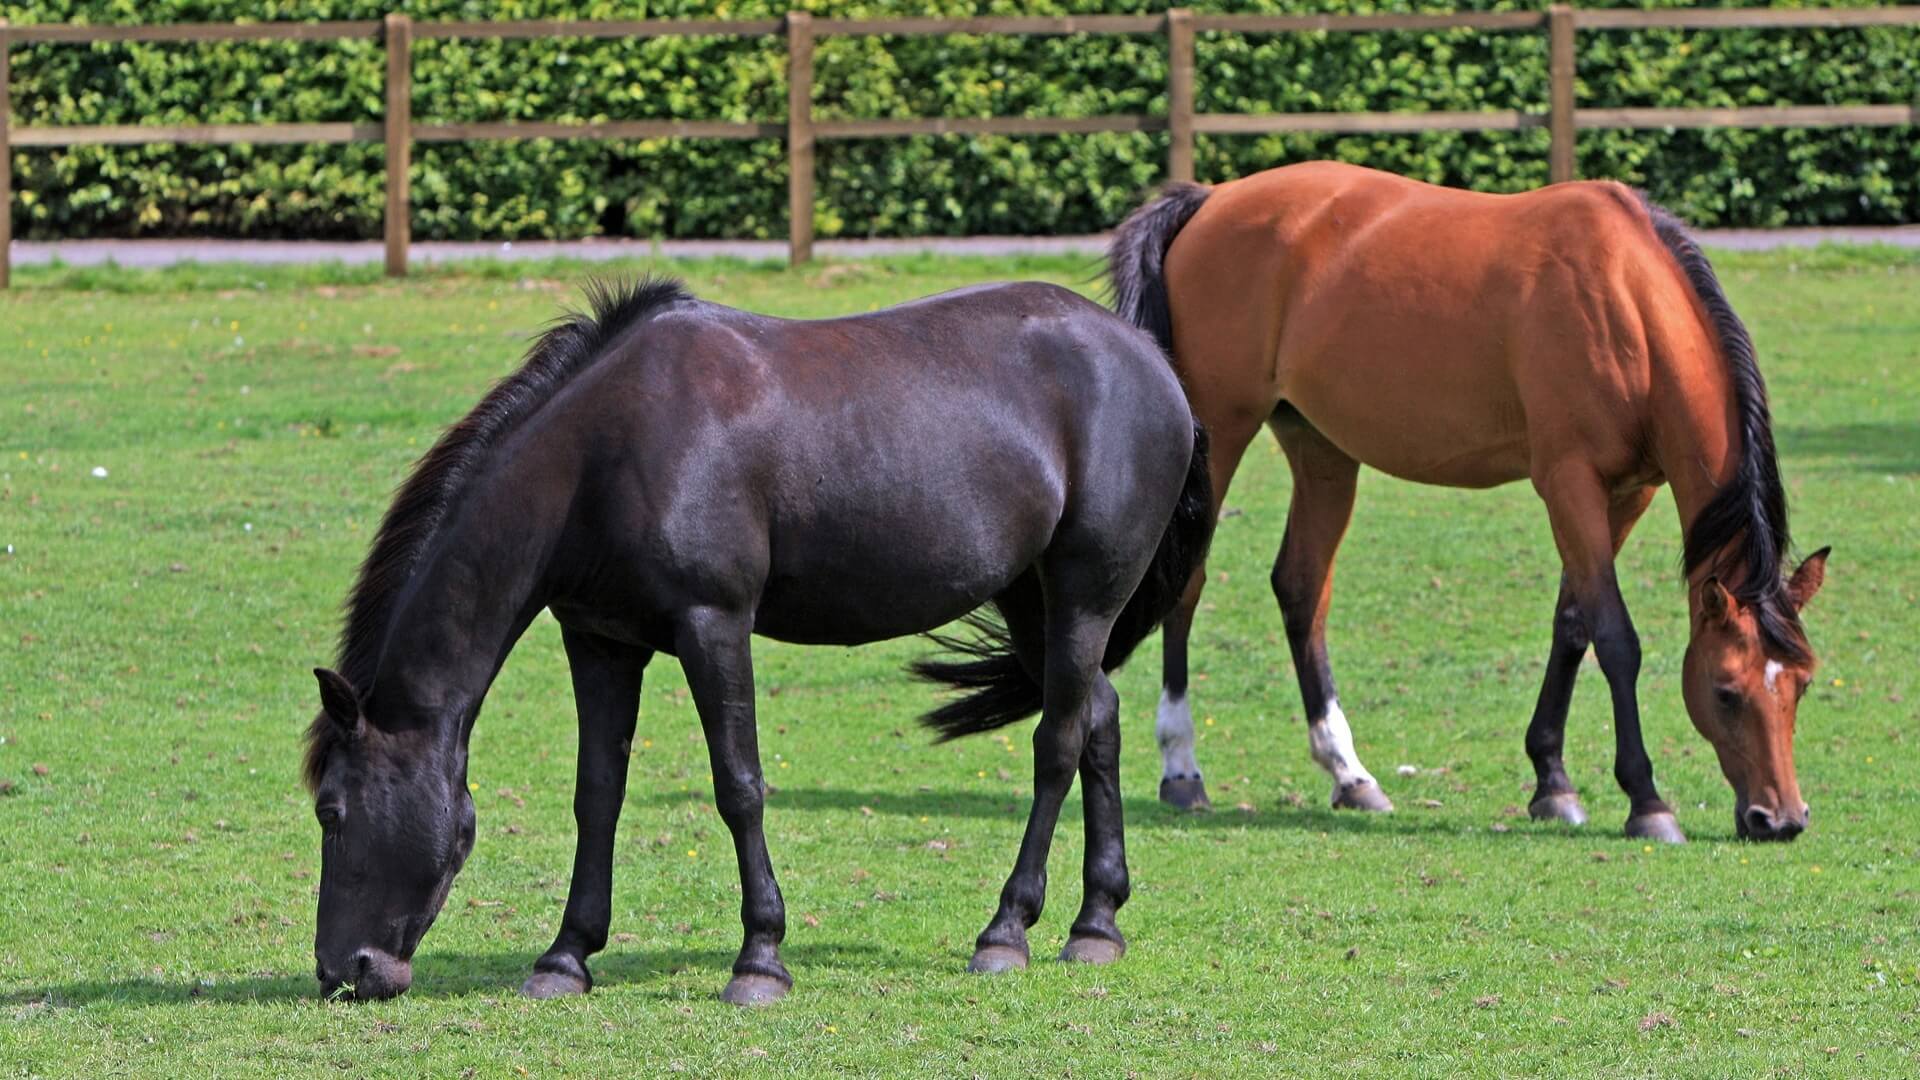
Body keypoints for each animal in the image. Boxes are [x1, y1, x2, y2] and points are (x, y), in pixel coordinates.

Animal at [299, 276, 1205, 999]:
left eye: (331, 810)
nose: (345, 971)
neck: (605, 453)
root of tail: (1146, 356)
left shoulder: (714, 625)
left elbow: (738, 786)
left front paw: (760, 959)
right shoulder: (601, 641)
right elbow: (598, 794)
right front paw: (566, 957)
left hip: (1084, 591)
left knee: (1058, 743)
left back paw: (1007, 930)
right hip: (1029, 598)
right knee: (1099, 718)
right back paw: (1096, 924)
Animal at [1105, 164, 1820, 841]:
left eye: (1803, 684)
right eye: (1726, 693)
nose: (1779, 818)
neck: (1626, 305)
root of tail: (1212, 200)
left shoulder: (1628, 493)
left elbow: (1573, 623)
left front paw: (1551, 781)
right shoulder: (1569, 482)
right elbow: (1615, 637)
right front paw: (1646, 800)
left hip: (1320, 448)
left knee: (1302, 589)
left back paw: (1349, 773)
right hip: (1223, 432)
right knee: (1190, 583)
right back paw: (1182, 769)